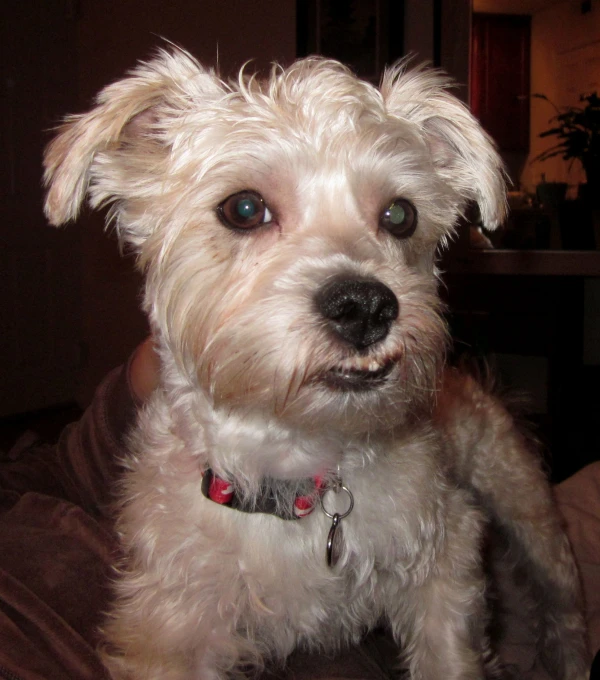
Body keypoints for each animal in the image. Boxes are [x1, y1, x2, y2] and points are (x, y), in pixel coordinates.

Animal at [44, 49, 588, 680]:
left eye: (400, 215)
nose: (366, 308)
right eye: (244, 208)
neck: (296, 470)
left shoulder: (445, 561)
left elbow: (450, 656)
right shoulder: (171, 625)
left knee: (563, 609)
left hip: (529, 513)